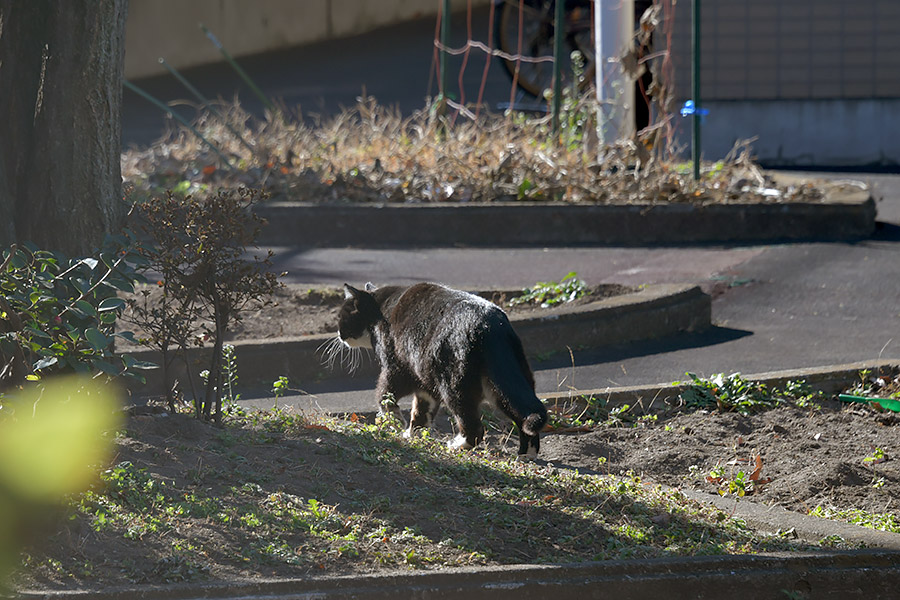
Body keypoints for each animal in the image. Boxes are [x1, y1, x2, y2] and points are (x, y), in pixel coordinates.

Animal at [338, 282, 548, 460]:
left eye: (341, 318)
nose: (339, 334)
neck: (379, 307)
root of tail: (491, 328)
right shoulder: (422, 377)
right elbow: (421, 409)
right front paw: (413, 434)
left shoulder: (397, 367)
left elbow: (384, 395)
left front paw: (396, 422)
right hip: (505, 381)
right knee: (524, 413)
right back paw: (526, 455)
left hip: (454, 384)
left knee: (474, 427)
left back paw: (456, 445)